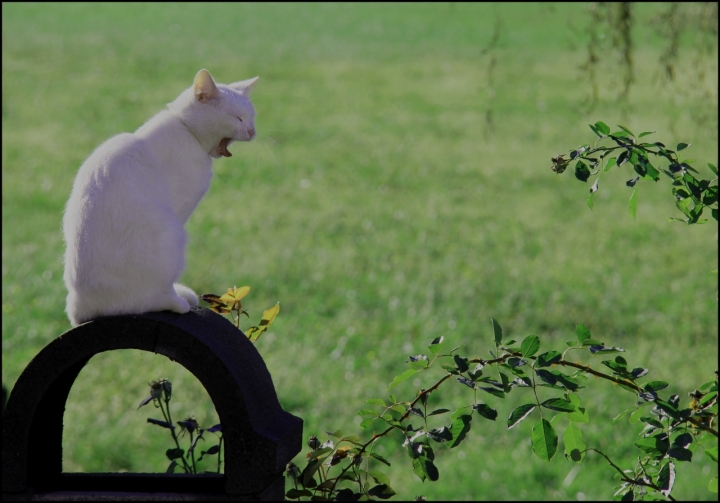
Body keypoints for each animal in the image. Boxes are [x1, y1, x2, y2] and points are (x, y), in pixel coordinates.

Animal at [62, 70, 258, 326]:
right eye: (237, 118)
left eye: (252, 117)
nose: (253, 131)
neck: (185, 129)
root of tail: (81, 309)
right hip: (172, 236)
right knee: (151, 298)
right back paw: (178, 302)